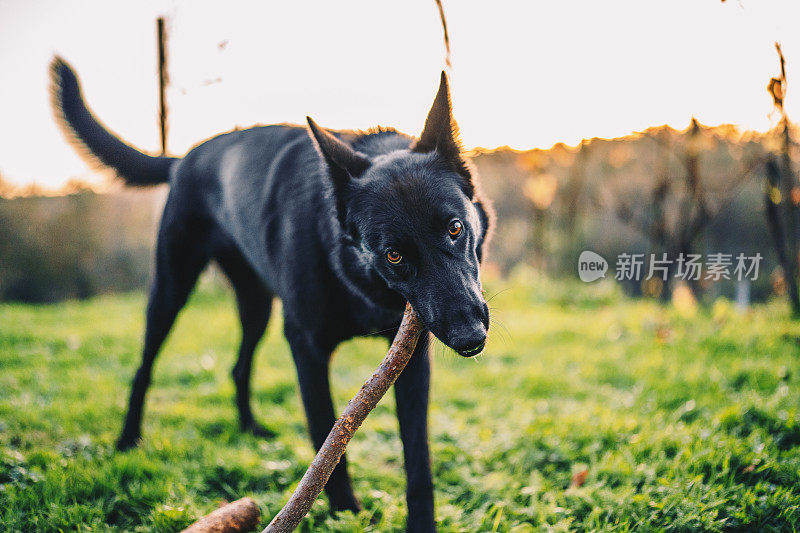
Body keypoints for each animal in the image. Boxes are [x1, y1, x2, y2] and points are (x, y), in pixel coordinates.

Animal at [51, 56, 494, 528]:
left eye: (455, 228)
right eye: (394, 255)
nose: (470, 338)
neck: (354, 273)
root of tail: (186, 155)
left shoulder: (410, 363)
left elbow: (418, 459)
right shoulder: (306, 349)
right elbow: (327, 439)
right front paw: (345, 513)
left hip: (256, 305)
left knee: (238, 366)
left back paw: (250, 428)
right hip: (172, 287)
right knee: (145, 366)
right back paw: (128, 439)